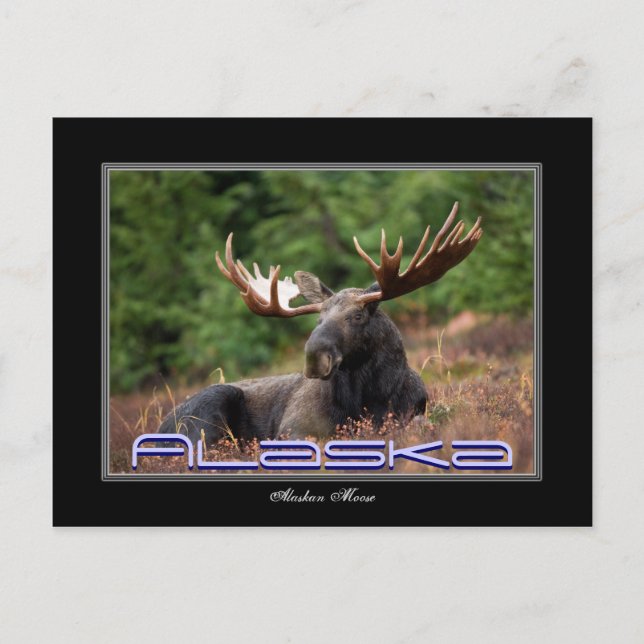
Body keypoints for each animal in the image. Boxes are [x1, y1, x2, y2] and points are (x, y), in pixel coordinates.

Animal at [157, 202, 482, 444]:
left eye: (358, 315)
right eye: (319, 318)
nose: (314, 358)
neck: (368, 400)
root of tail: (160, 428)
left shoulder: (413, 412)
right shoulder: (293, 429)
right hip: (210, 407)